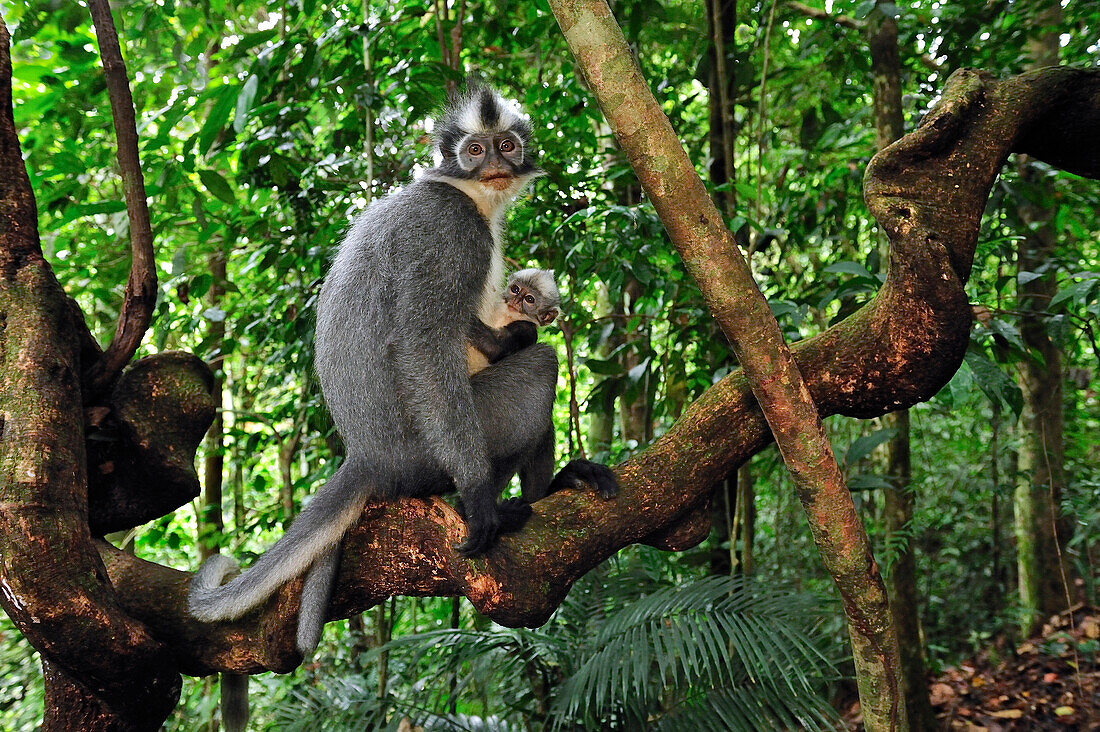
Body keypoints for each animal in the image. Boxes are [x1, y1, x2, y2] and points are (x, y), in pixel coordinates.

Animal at [190, 85, 620, 656]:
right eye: (475, 151)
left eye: (506, 145)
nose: (496, 165)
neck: (464, 191)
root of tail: (366, 456)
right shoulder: (449, 231)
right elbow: (424, 342)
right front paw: (479, 500)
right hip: (435, 447)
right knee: (542, 366)